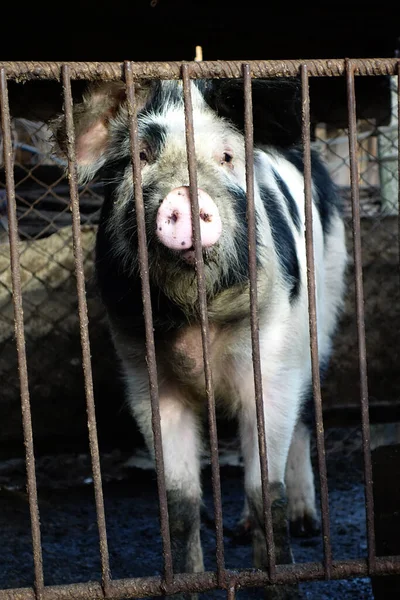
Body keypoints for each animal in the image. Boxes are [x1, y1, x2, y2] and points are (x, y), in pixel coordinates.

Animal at [53, 77, 346, 596]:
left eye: (226, 156)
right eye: (141, 156)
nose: (185, 197)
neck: (195, 324)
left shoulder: (271, 361)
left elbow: (264, 490)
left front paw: (282, 580)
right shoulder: (144, 374)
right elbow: (180, 500)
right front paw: (188, 581)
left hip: (322, 316)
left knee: (304, 417)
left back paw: (306, 522)